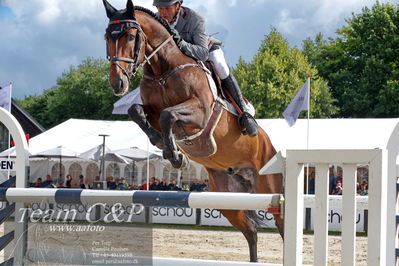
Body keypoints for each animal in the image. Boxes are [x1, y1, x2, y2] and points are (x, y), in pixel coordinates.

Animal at [103, 0, 284, 262]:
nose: (118, 83)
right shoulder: (151, 111)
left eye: (130, 36)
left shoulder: (200, 113)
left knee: (282, 225)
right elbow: (136, 111)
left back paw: (248, 122)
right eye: (107, 36)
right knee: (250, 230)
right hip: (227, 198)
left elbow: (169, 115)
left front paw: (176, 156)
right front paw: (163, 144)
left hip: (270, 188)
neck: (163, 71)